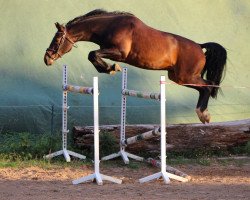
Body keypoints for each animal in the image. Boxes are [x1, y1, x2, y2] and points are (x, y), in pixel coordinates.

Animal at [44, 9, 227, 123]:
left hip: (185, 77)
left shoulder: (119, 53)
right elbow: (93, 55)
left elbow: (93, 54)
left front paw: (111, 68)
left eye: (57, 39)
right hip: (178, 77)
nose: (47, 59)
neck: (110, 26)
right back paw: (203, 114)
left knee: (208, 86)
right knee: (205, 88)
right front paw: (109, 68)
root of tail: (200, 46)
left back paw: (204, 115)